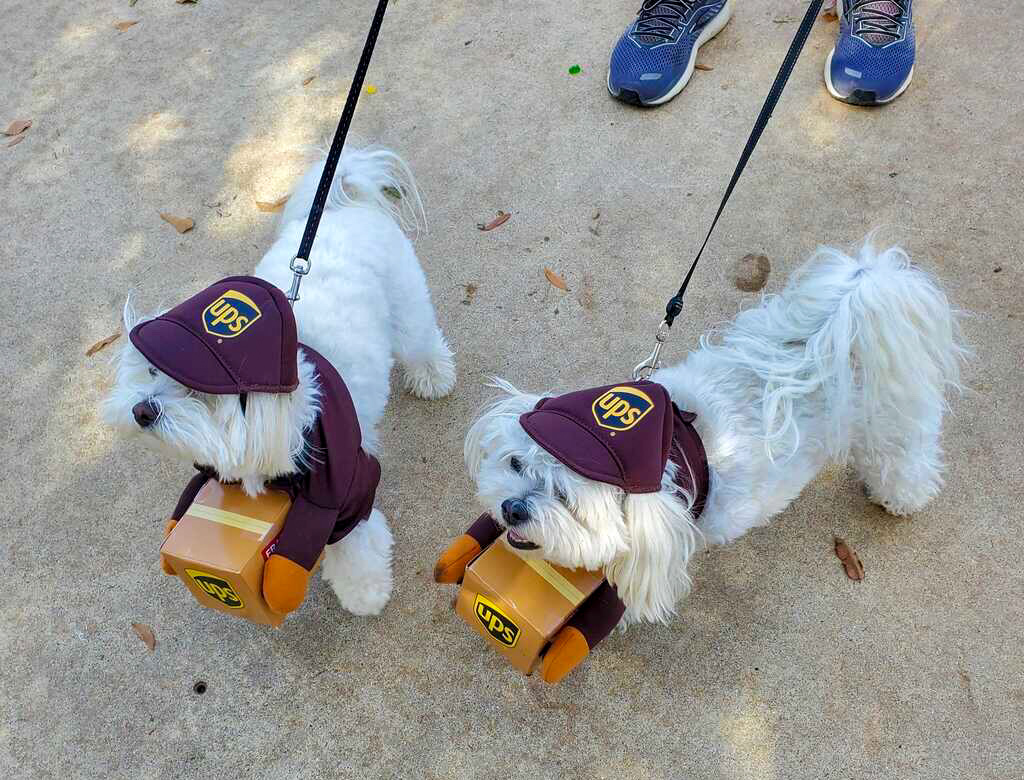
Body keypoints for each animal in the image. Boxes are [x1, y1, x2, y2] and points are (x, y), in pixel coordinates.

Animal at [468, 240, 962, 622]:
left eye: (566, 498)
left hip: (891, 430)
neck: (668, 446)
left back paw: (902, 499)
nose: (512, 508)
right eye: (515, 463)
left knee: (905, 463)